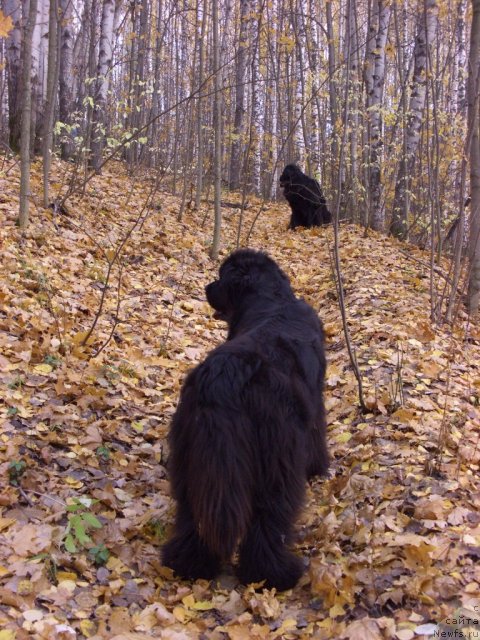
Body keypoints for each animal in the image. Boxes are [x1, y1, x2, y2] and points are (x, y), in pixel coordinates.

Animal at [162, 249, 330, 592]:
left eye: (221, 277)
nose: (207, 287)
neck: (273, 300)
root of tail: (224, 377)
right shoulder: (314, 404)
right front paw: (319, 467)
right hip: (276, 464)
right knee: (268, 518)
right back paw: (272, 574)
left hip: (191, 456)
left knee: (191, 513)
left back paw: (189, 564)